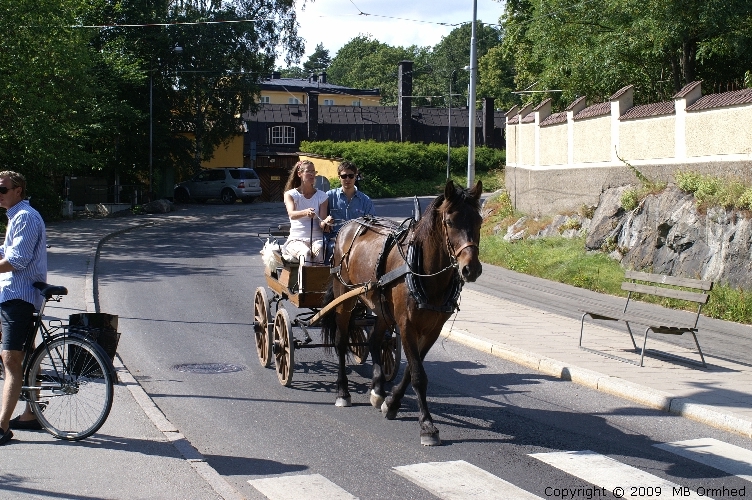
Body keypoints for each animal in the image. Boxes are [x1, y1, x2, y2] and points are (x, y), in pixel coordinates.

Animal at [320, 180, 484, 446]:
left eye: (479, 221)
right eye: (450, 222)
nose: (471, 269)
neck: (424, 273)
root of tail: (349, 224)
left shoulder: (432, 329)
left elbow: (410, 370)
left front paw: (391, 403)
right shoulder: (406, 324)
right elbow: (418, 374)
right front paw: (427, 425)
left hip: (382, 309)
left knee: (375, 341)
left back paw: (377, 390)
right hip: (344, 297)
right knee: (341, 342)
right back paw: (343, 391)